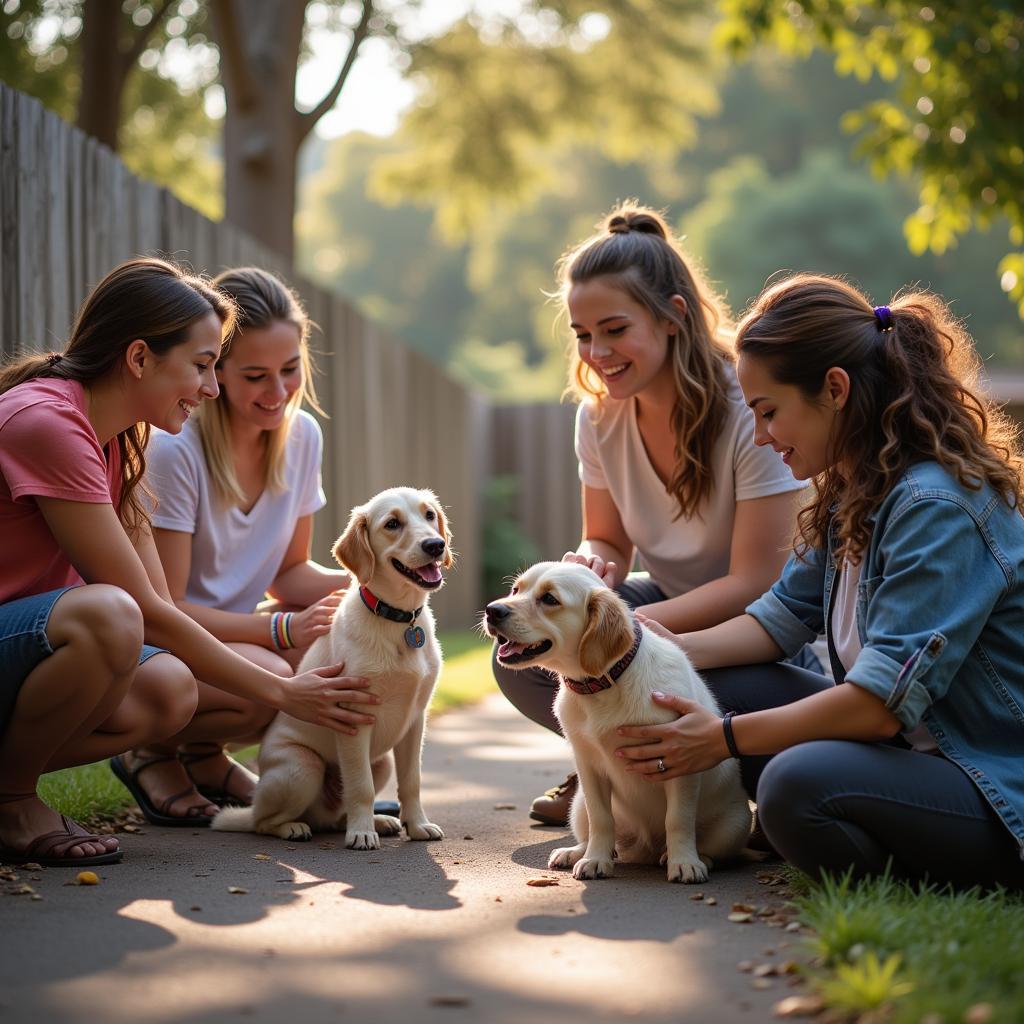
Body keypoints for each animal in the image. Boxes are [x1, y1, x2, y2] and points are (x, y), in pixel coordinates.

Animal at [214, 487, 454, 847]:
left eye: (428, 515)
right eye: (392, 524)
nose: (435, 545)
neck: (397, 620)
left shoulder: (415, 721)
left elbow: (412, 781)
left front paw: (417, 825)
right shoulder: (353, 717)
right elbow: (360, 786)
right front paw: (362, 833)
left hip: (381, 761)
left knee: (335, 815)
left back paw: (377, 821)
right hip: (303, 767)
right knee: (262, 821)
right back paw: (295, 827)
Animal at [479, 561, 753, 880]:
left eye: (549, 599)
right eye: (515, 589)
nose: (492, 610)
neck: (605, 684)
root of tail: (645, 850)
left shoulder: (680, 759)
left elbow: (678, 819)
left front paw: (684, 861)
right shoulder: (589, 766)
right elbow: (601, 818)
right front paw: (595, 859)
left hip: (735, 824)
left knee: (714, 848)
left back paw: (692, 858)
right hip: (578, 805)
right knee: (600, 835)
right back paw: (577, 852)